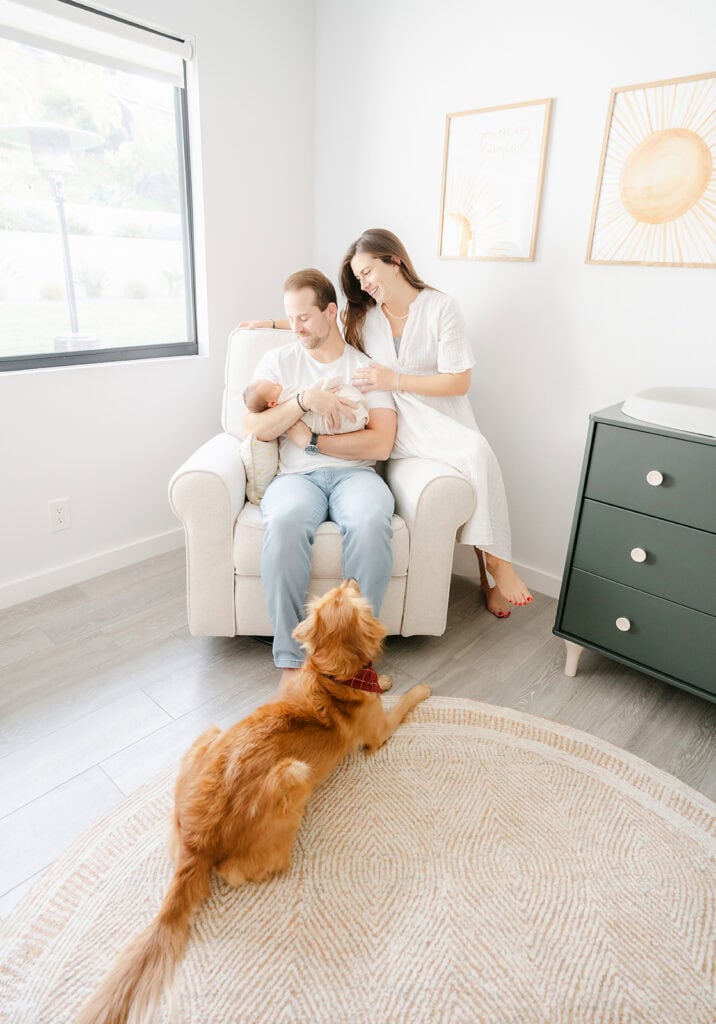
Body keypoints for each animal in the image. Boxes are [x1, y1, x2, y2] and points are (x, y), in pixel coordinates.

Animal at [76, 581, 432, 1019]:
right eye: (342, 592)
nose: (349, 579)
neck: (331, 674)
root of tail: (198, 844)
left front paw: (383, 679)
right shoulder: (379, 734)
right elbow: (405, 705)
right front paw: (417, 688)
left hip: (209, 736)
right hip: (294, 776)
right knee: (243, 868)